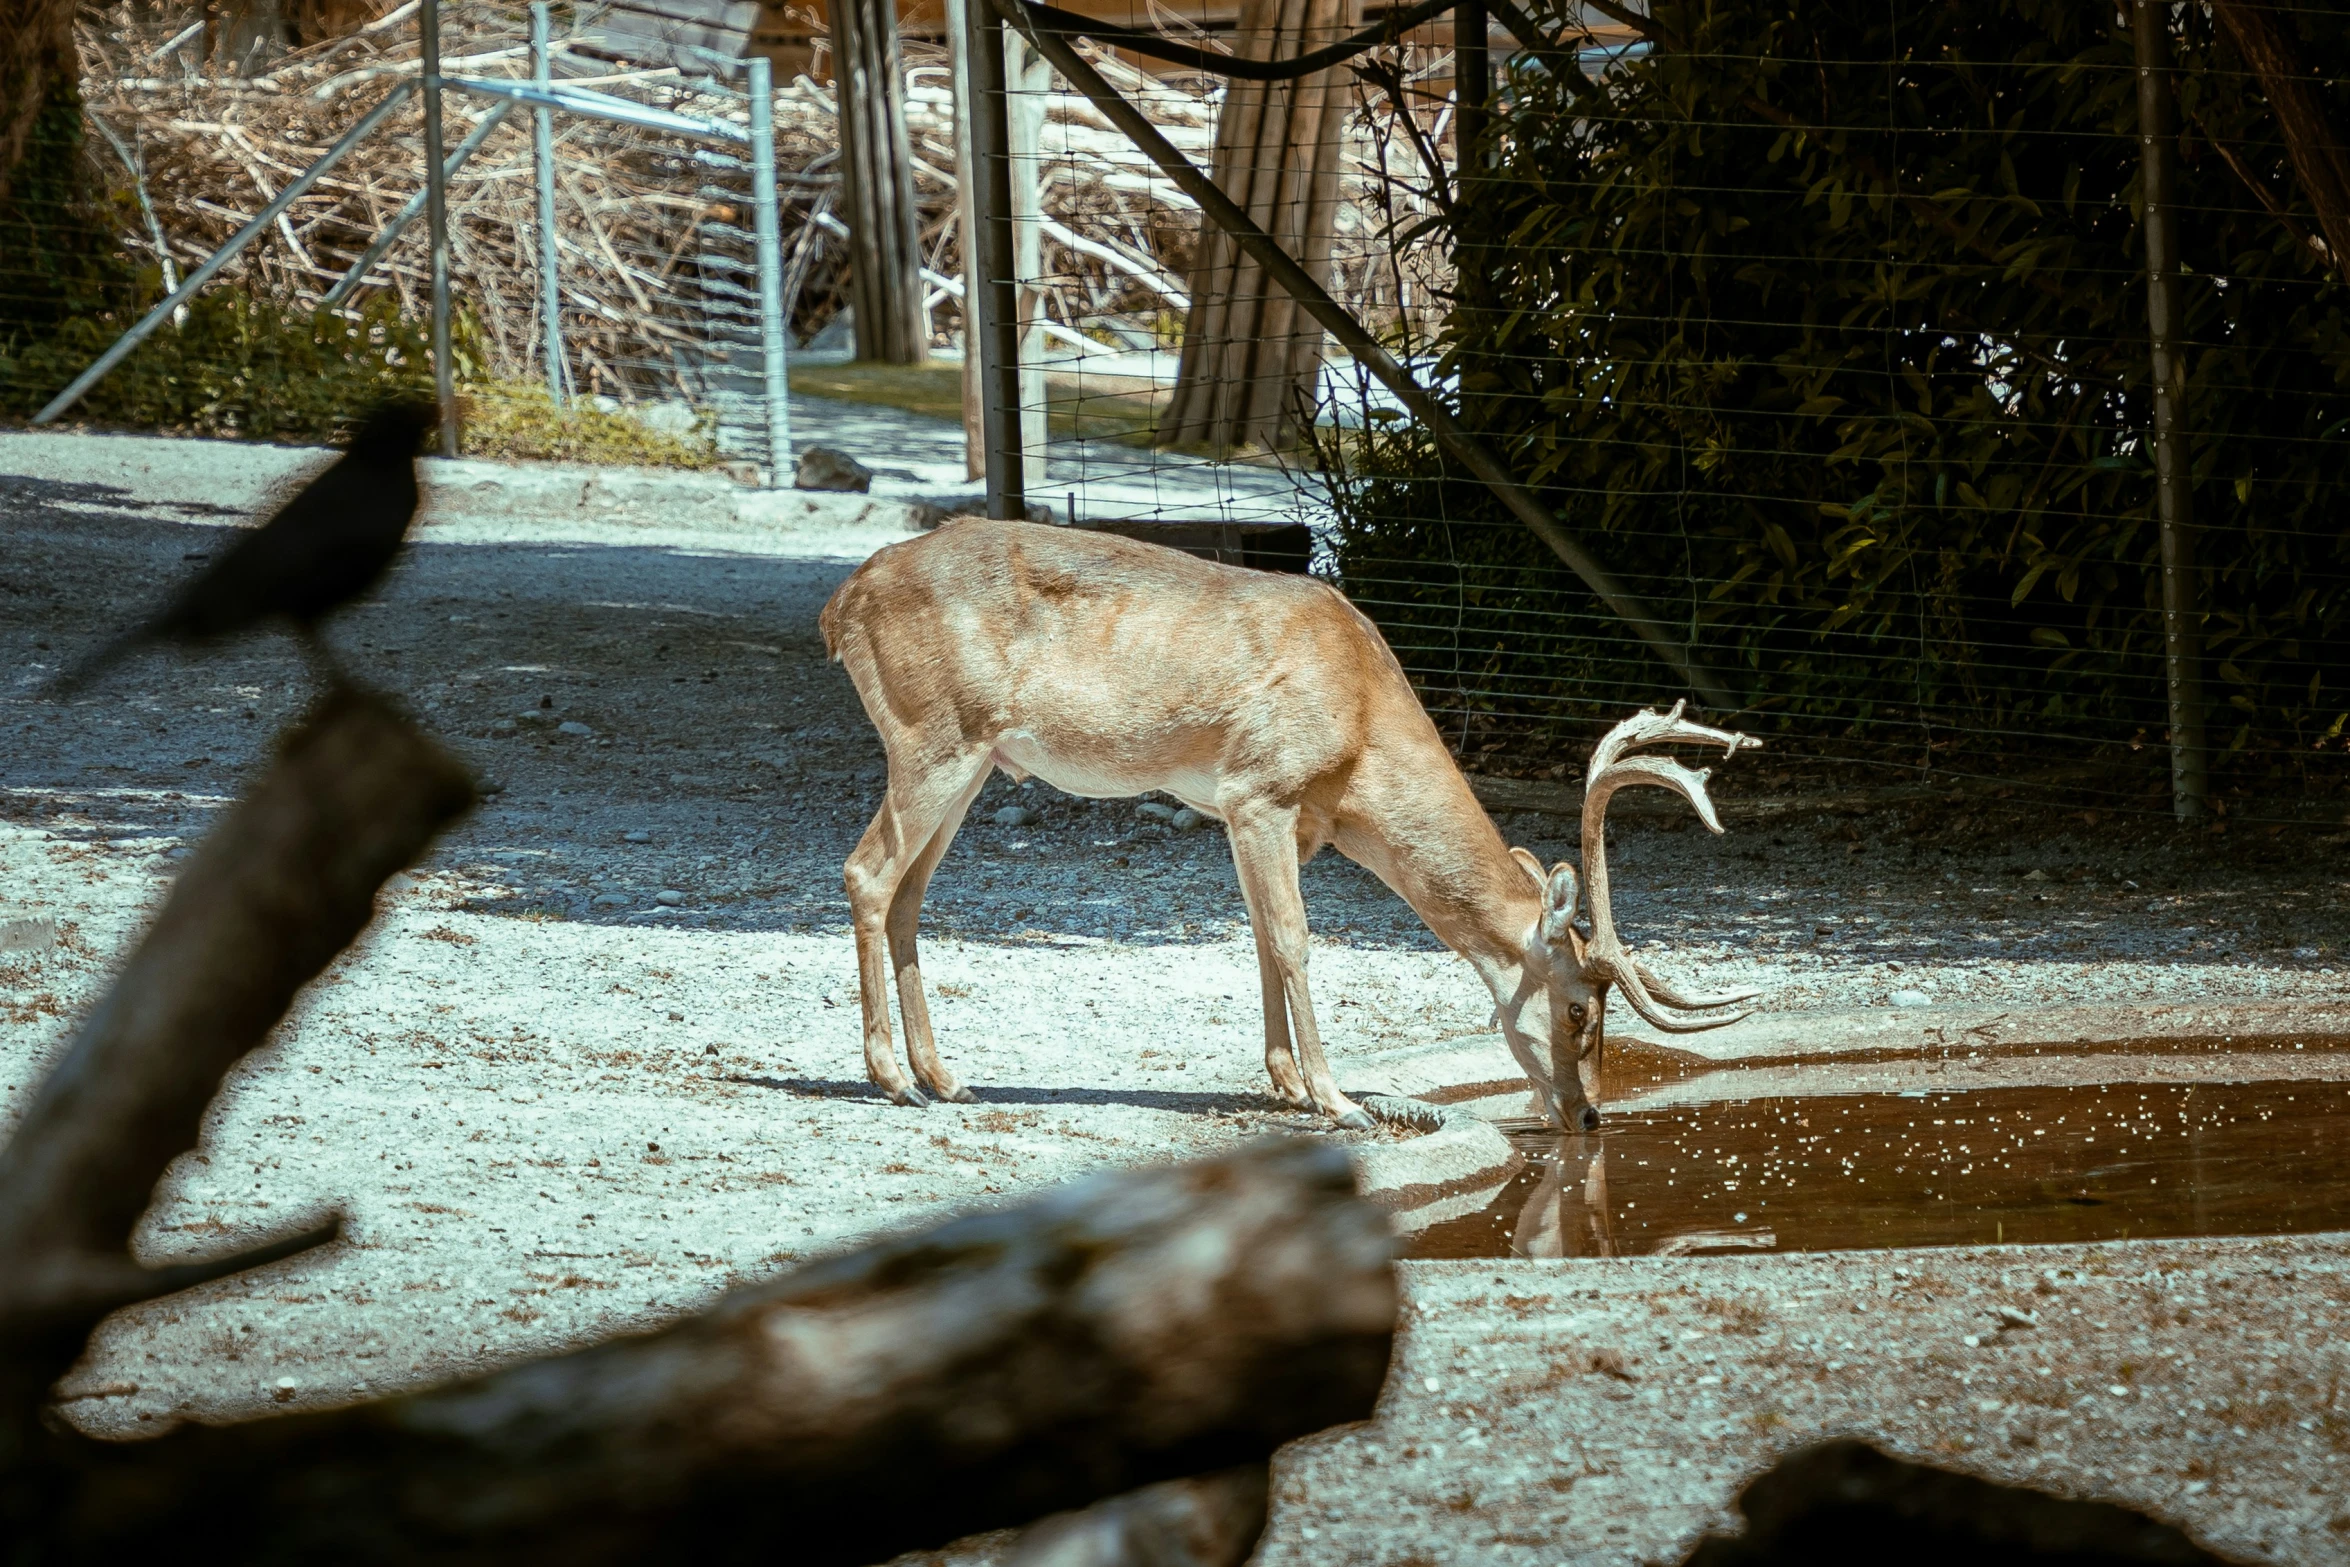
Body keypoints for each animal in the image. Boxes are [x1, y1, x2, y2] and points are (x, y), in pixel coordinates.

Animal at [817, 521, 1757, 1132]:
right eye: (1578, 1008)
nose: (1590, 1115)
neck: (1360, 723)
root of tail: (842, 603)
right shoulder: (1260, 789)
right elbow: (1298, 939)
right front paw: (1338, 1100)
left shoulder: (1273, 817)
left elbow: (1264, 939)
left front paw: (1287, 1085)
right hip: (932, 737)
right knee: (867, 872)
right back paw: (894, 1079)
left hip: (974, 760)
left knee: (909, 894)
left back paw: (947, 1078)